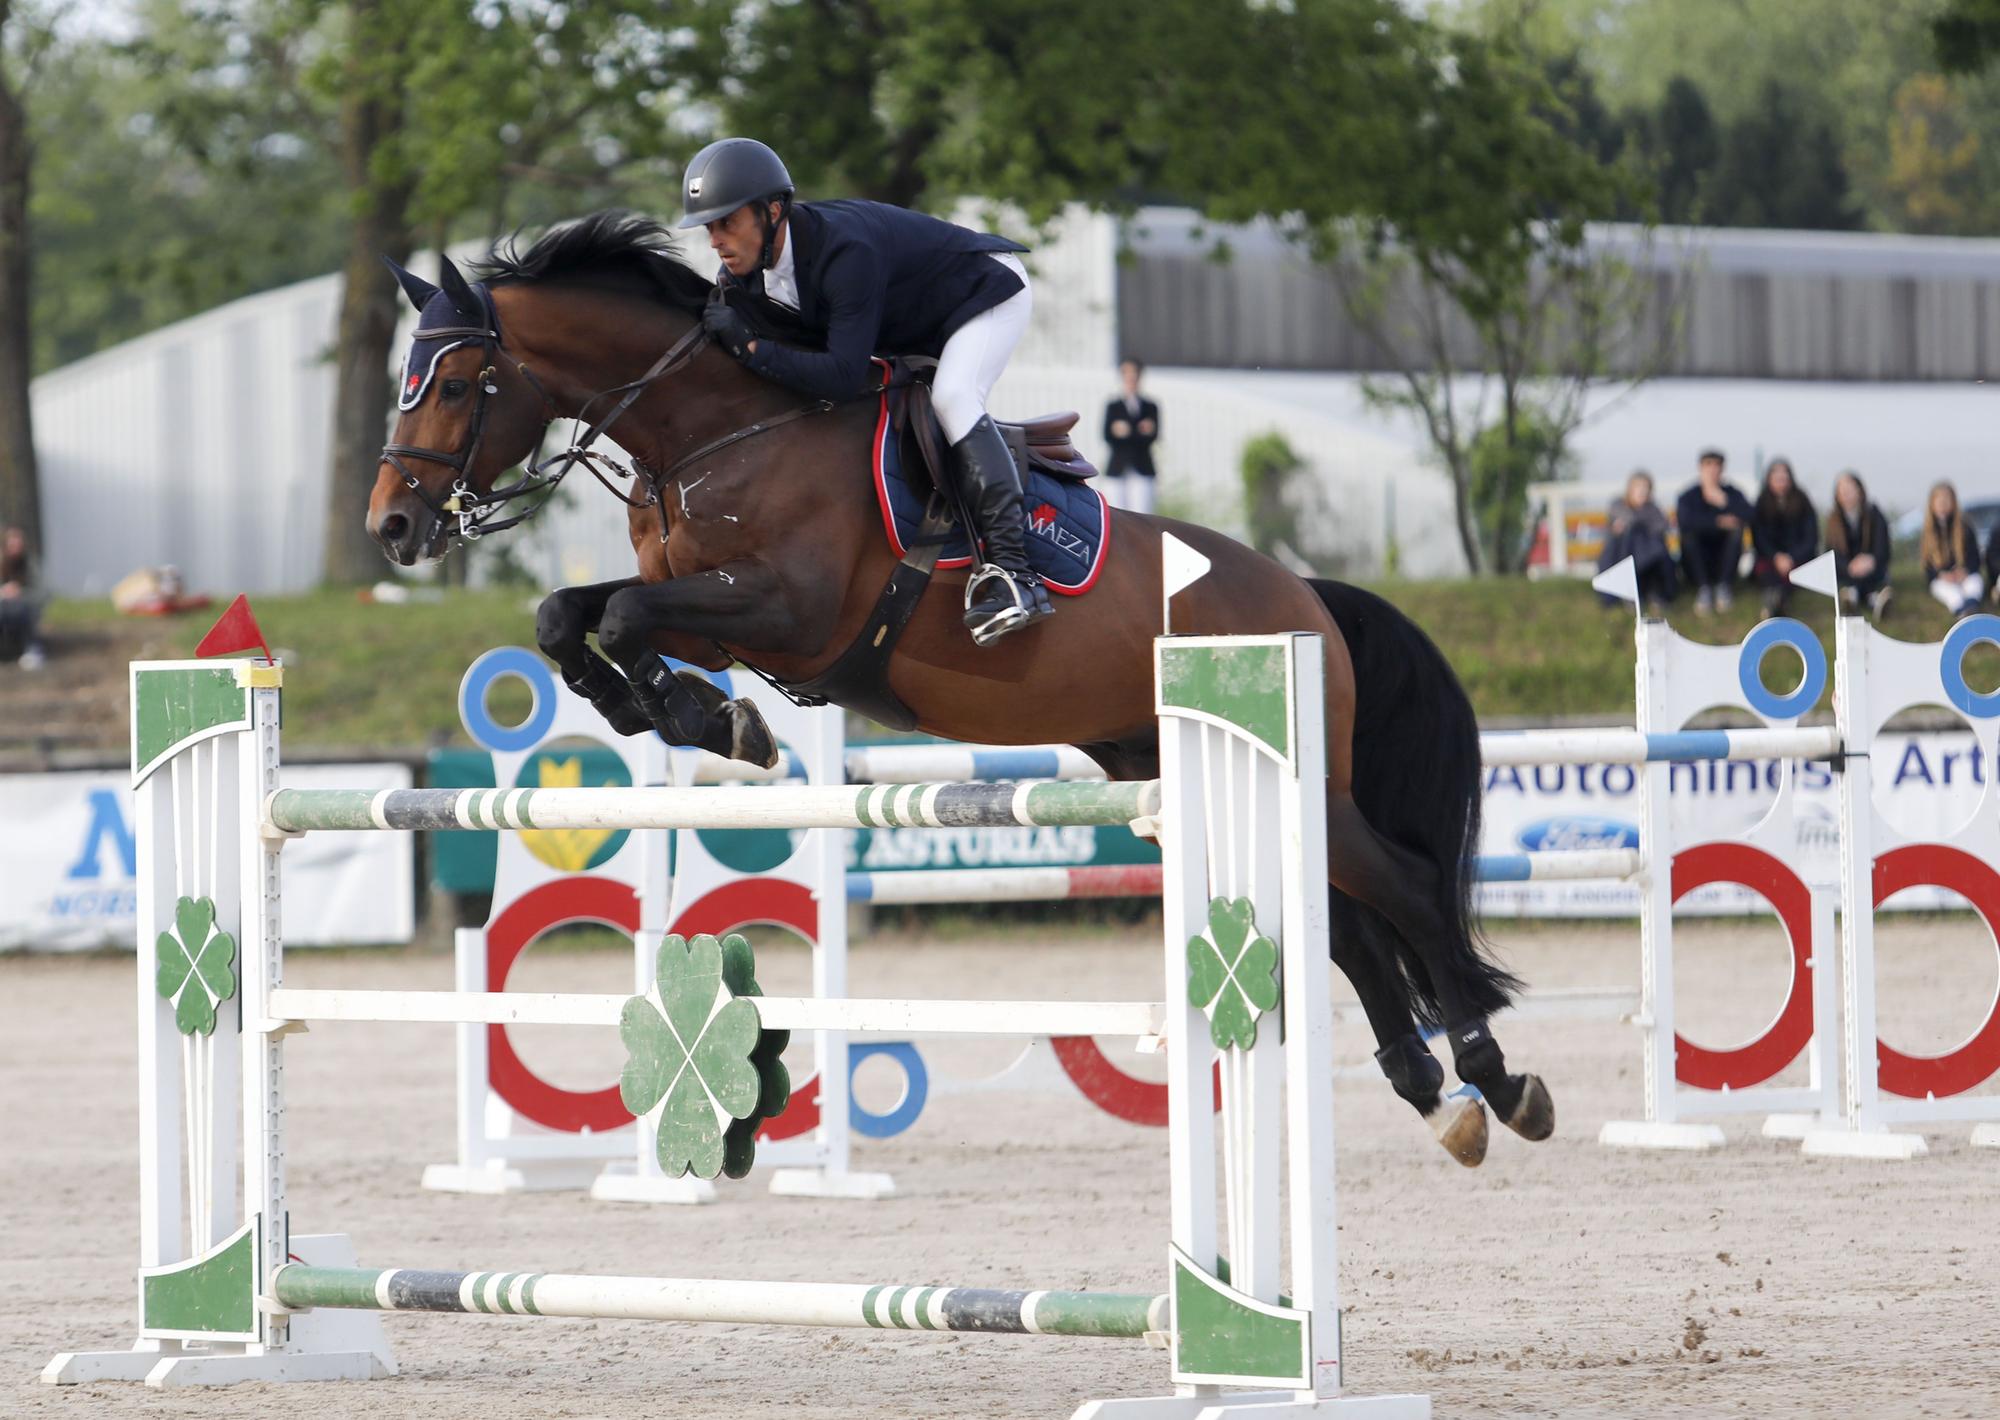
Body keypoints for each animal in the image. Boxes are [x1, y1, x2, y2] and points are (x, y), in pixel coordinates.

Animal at [368, 211, 1552, 1168]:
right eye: (404, 383)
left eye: (461, 384)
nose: (393, 527)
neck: (709, 433)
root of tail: (1304, 594)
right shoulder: (703, 603)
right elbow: (567, 615)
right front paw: (675, 714)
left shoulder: (786, 612)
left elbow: (616, 619)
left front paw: (710, 718)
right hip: (1175, 760)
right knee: (1347, 923)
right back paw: (1434, 1097)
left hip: (1292, 768)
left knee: (1402, 890)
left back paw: (1497, 1079)